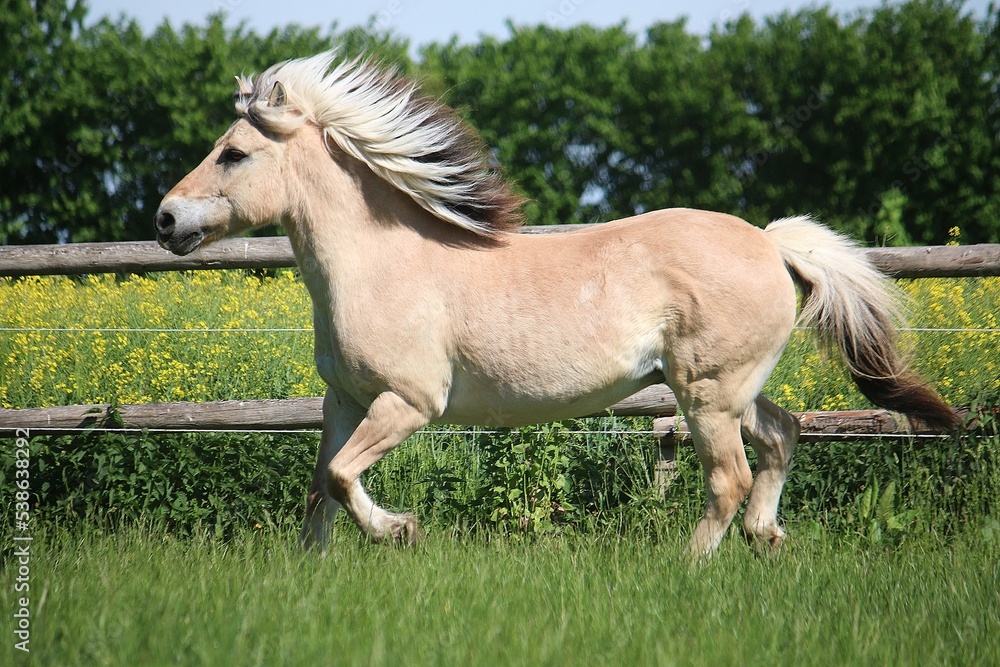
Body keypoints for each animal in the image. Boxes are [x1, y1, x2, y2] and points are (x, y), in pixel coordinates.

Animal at [154, 51, 958, 555]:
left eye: (233, 154)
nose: (165, 219)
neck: (379, 263)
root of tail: (769, 243)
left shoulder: (408, 402)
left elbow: (344, 479)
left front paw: (402, 531)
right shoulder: (344, 401)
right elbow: (321, 487)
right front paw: (311, 574)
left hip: (706, 395)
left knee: (728, 477)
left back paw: (687, 566)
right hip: (729, 388)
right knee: (783, 436)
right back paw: (769, 540)